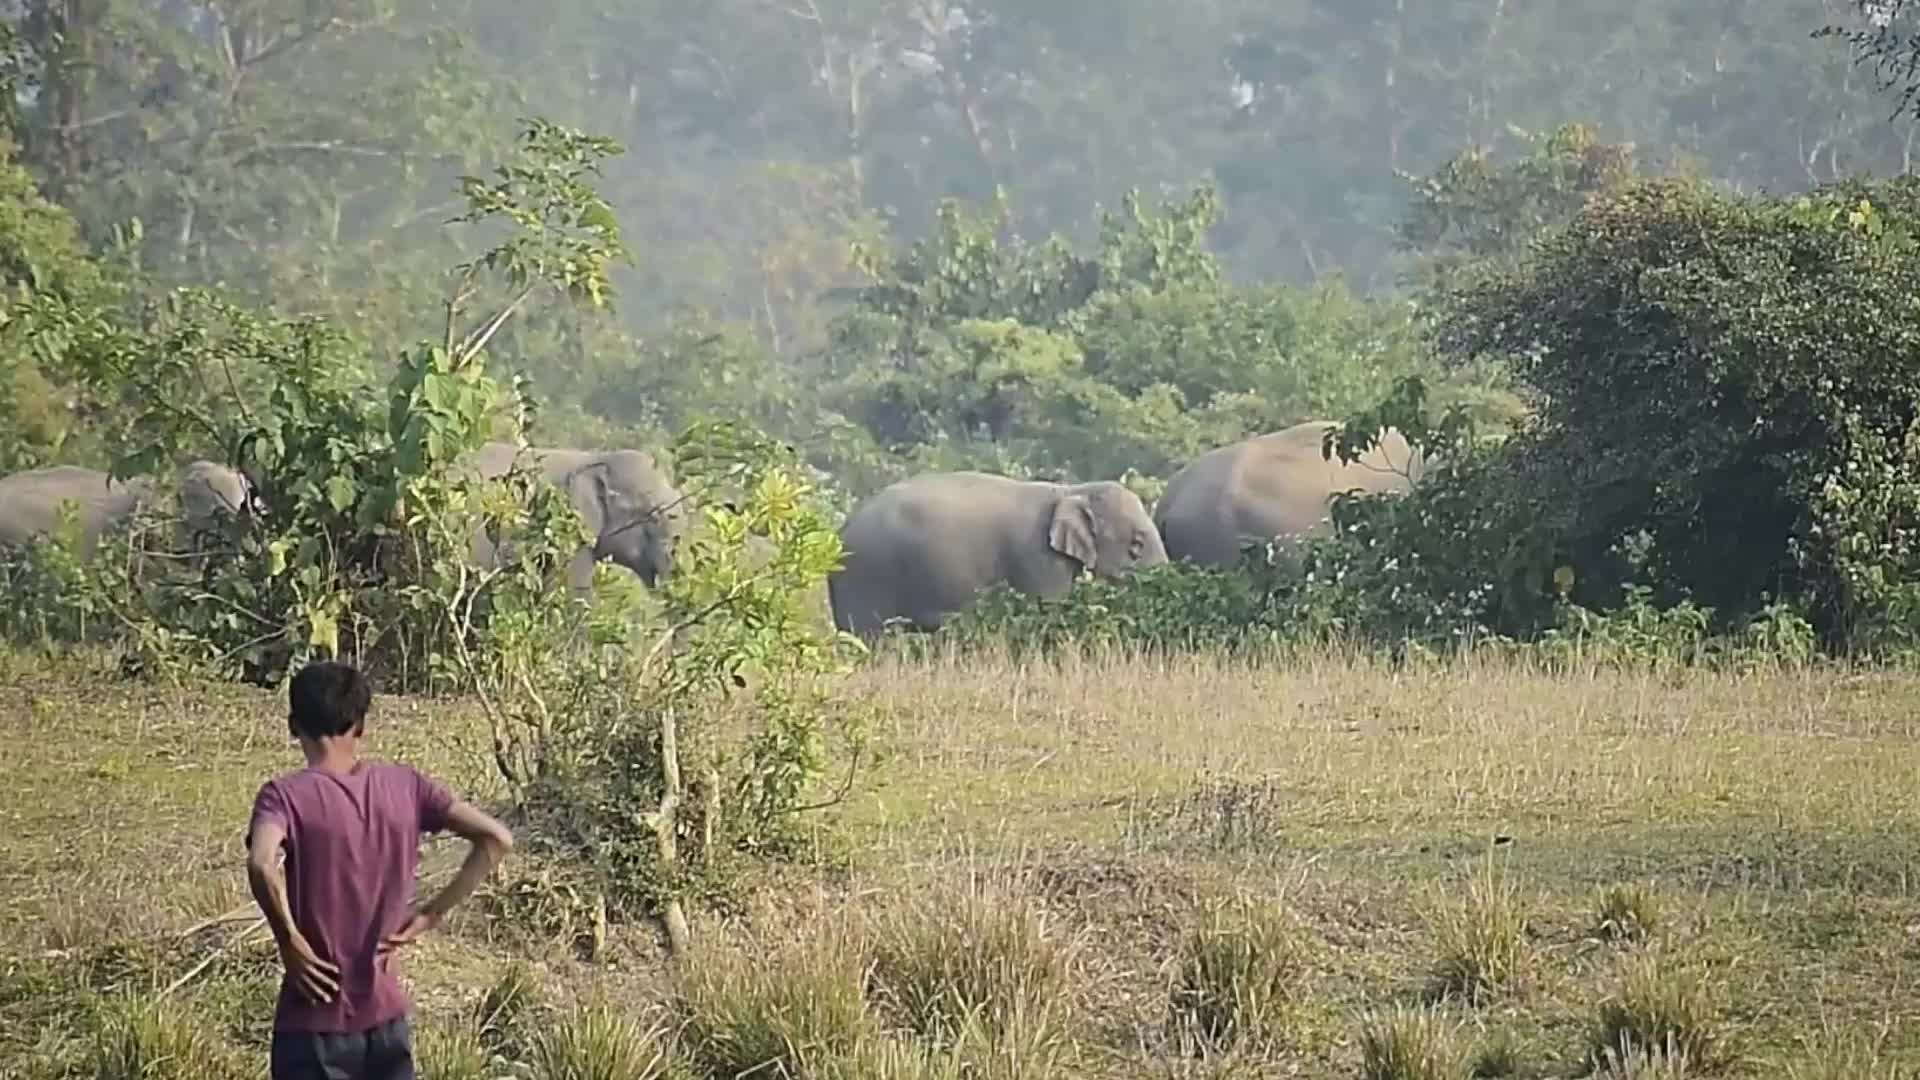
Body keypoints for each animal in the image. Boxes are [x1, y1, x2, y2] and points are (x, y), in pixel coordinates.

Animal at [828, 471, 1169, 638]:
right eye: (1136, 545)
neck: (1071, 490)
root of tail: (842, 529)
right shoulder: (1037, 556)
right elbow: (1048, 608)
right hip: (866, 574)